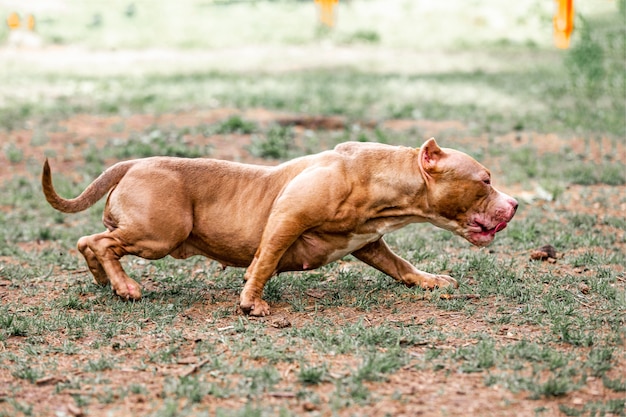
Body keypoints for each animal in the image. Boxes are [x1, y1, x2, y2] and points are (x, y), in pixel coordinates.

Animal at [41, 138, 516, 314]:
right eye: (485, 179)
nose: (514, 204)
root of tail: (134, 162)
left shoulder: (368, 242)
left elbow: (401, 265)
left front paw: (429, 280)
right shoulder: (287, 218)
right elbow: (266, 261)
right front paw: (252, 302)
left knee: (89, 242)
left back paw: (105, 281)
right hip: (159, 234)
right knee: (97, 240)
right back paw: (124, 285)